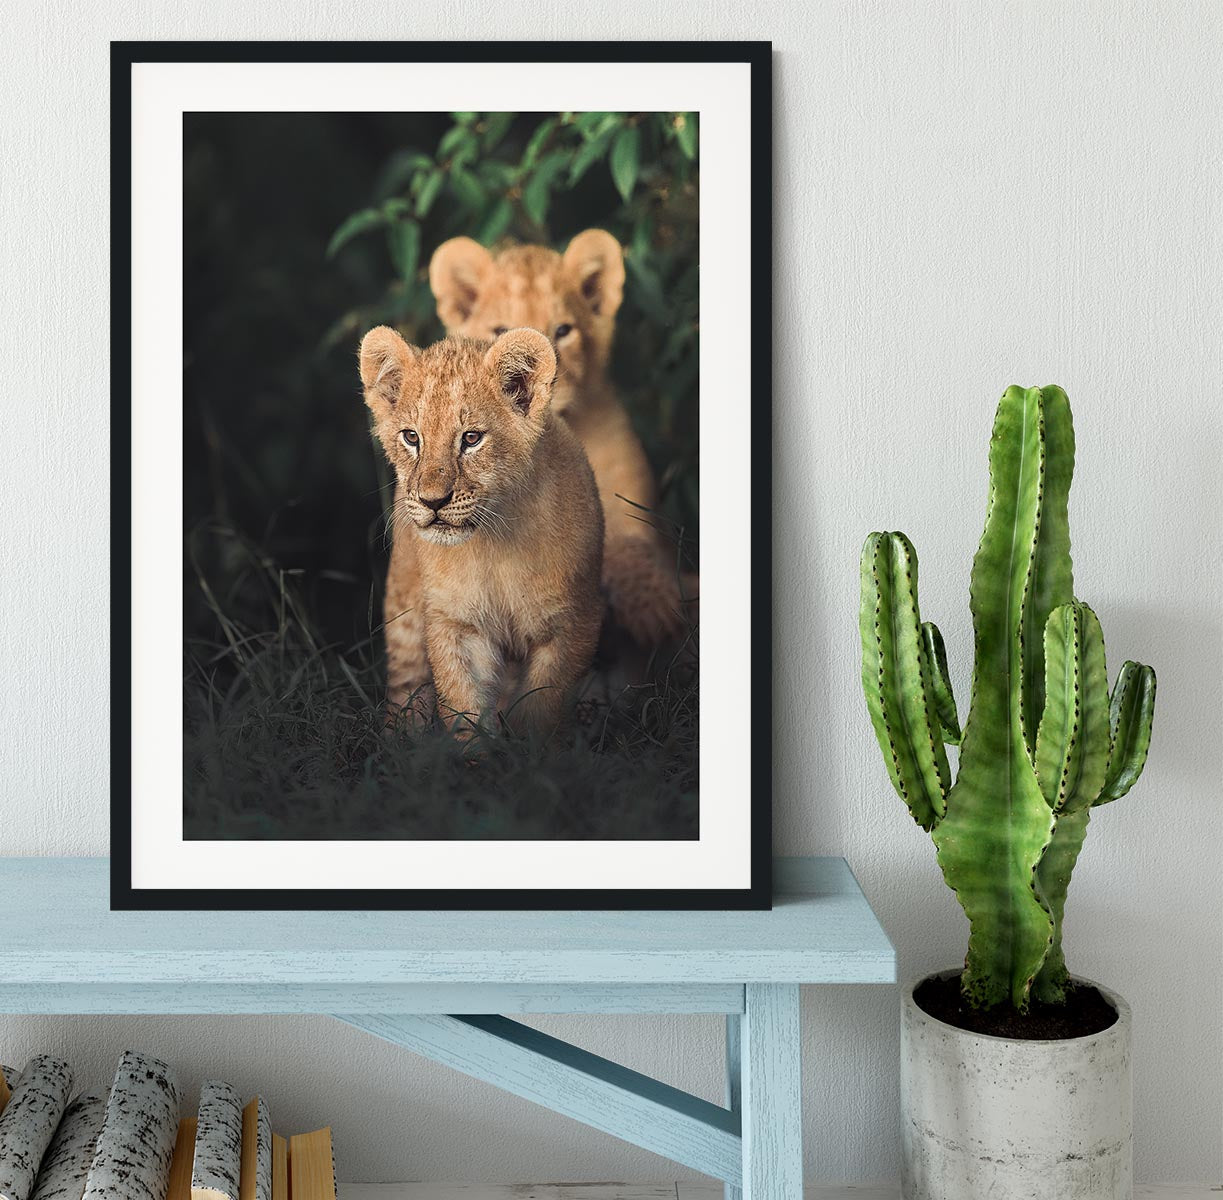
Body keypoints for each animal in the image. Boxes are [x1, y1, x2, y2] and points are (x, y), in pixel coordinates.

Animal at [359, 325, 604, 735]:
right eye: (412, 437)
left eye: (471, 439)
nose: (432, 501)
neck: (494, 544)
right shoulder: (455, 624)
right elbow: (464, 711)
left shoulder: (573, 624)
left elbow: (541, 709)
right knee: (406, 687)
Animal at [429, 229, 695, 651]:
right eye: (500, 332)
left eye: (564, 330)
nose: (534, 381)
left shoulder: (625, 501)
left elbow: (629, 546)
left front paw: (657, 607)